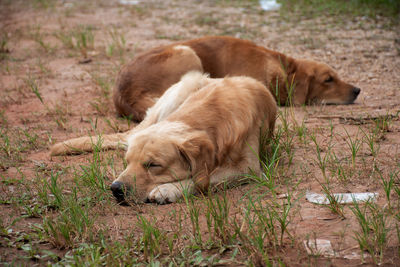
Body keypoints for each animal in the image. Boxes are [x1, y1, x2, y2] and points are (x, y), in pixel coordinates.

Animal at [50, 72, 276, 204]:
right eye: (127, 162)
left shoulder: (248, 168)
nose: (116, 189)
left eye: (153, 165)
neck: (215, 112)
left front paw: (168, 189)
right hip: (186, 84)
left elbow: (204, 177)